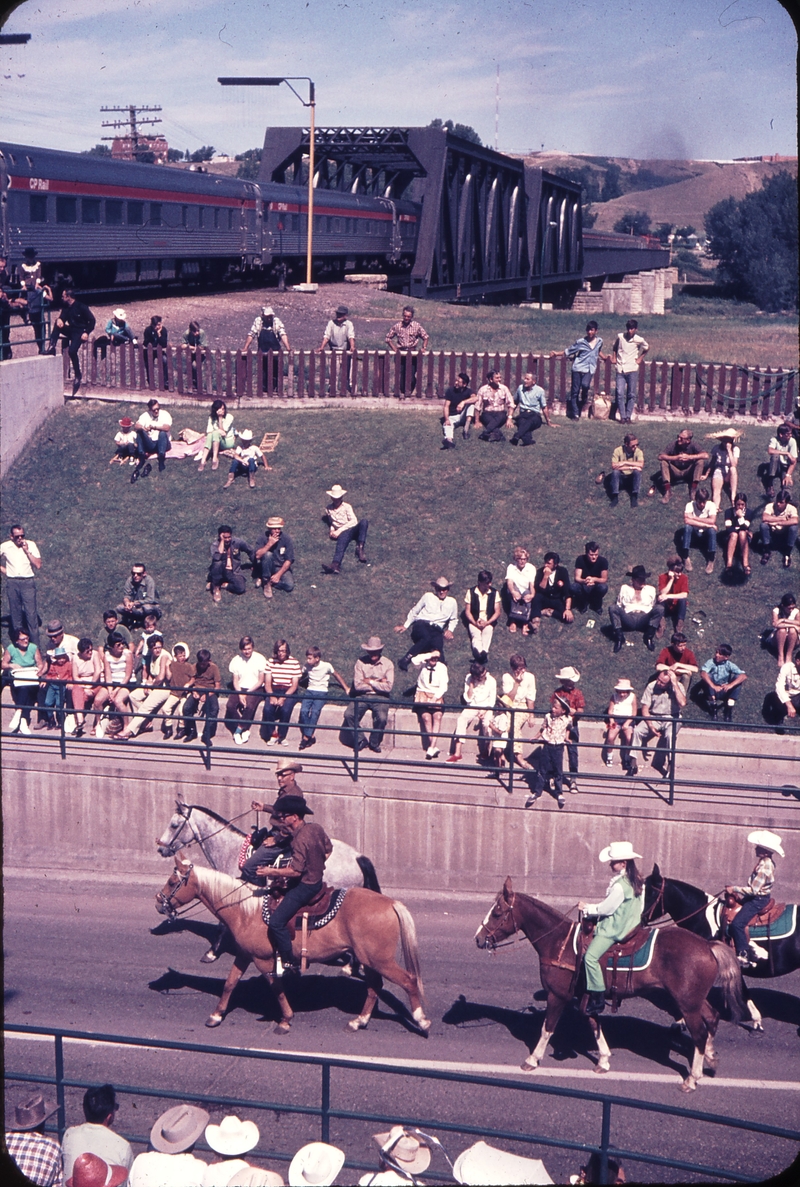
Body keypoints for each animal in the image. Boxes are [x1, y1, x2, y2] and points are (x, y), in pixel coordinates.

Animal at [155, 854, 429, 1039]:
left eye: (172, 881)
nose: (159, 902)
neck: (245, 910)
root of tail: (391, 903)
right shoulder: (245, 955)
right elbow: (230, 983)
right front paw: (216, 1015)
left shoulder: (264, 960)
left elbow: (276, 987)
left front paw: (285, 1020)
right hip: (368, 959)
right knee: (374, 987)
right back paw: (358, 1022)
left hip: (380, 960)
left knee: (408, 980)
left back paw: (422, 1020)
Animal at [157, 802, 382, 959]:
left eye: (174, 825)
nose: (161, 848)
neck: (231, 851)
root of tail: (358, 856)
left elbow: (222, 924)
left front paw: (212, 953)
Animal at [474, 873, 740, 1092]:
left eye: (497, 912)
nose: (478, 939)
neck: (559, 942)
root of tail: (708, 945)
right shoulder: (587, 996)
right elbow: (594, 1024)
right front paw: (603, 1060)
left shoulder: (557, 995)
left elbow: (547, 1028)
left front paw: (532, 1059)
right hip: (694, 1000)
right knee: (712, 1018)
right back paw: (710, 1058)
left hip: (686, 1003)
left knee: (699, 1033)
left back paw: (692, 1078)